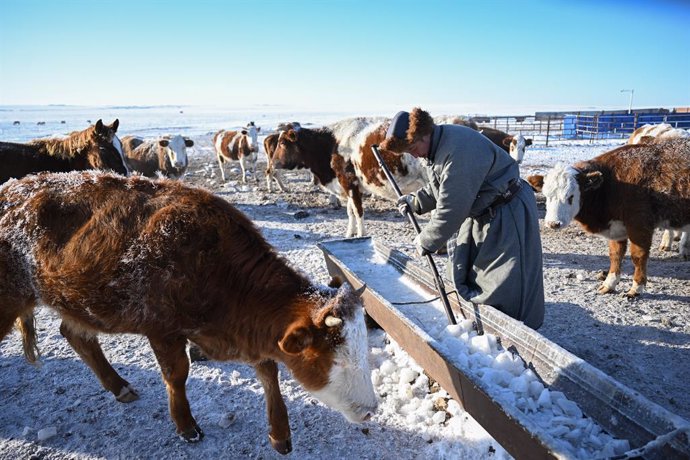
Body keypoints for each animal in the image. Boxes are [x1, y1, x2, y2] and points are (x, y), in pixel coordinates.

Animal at [0, 171, 376, 454]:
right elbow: (177, 374)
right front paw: (186, 426)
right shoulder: (162, 330)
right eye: (337, 361)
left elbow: (269, 371)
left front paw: (280, 434)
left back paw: (118, 386)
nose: (371, 411)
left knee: (76, 335)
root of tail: (14, 186)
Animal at [528, 139, 688, 298]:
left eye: (571, 196)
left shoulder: (639, 224)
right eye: (547, 195)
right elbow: (615, 255)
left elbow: (638, 256)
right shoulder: (617, 226)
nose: (553, 223)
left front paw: (636, 288)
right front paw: (609, 284)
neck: (612, 184)